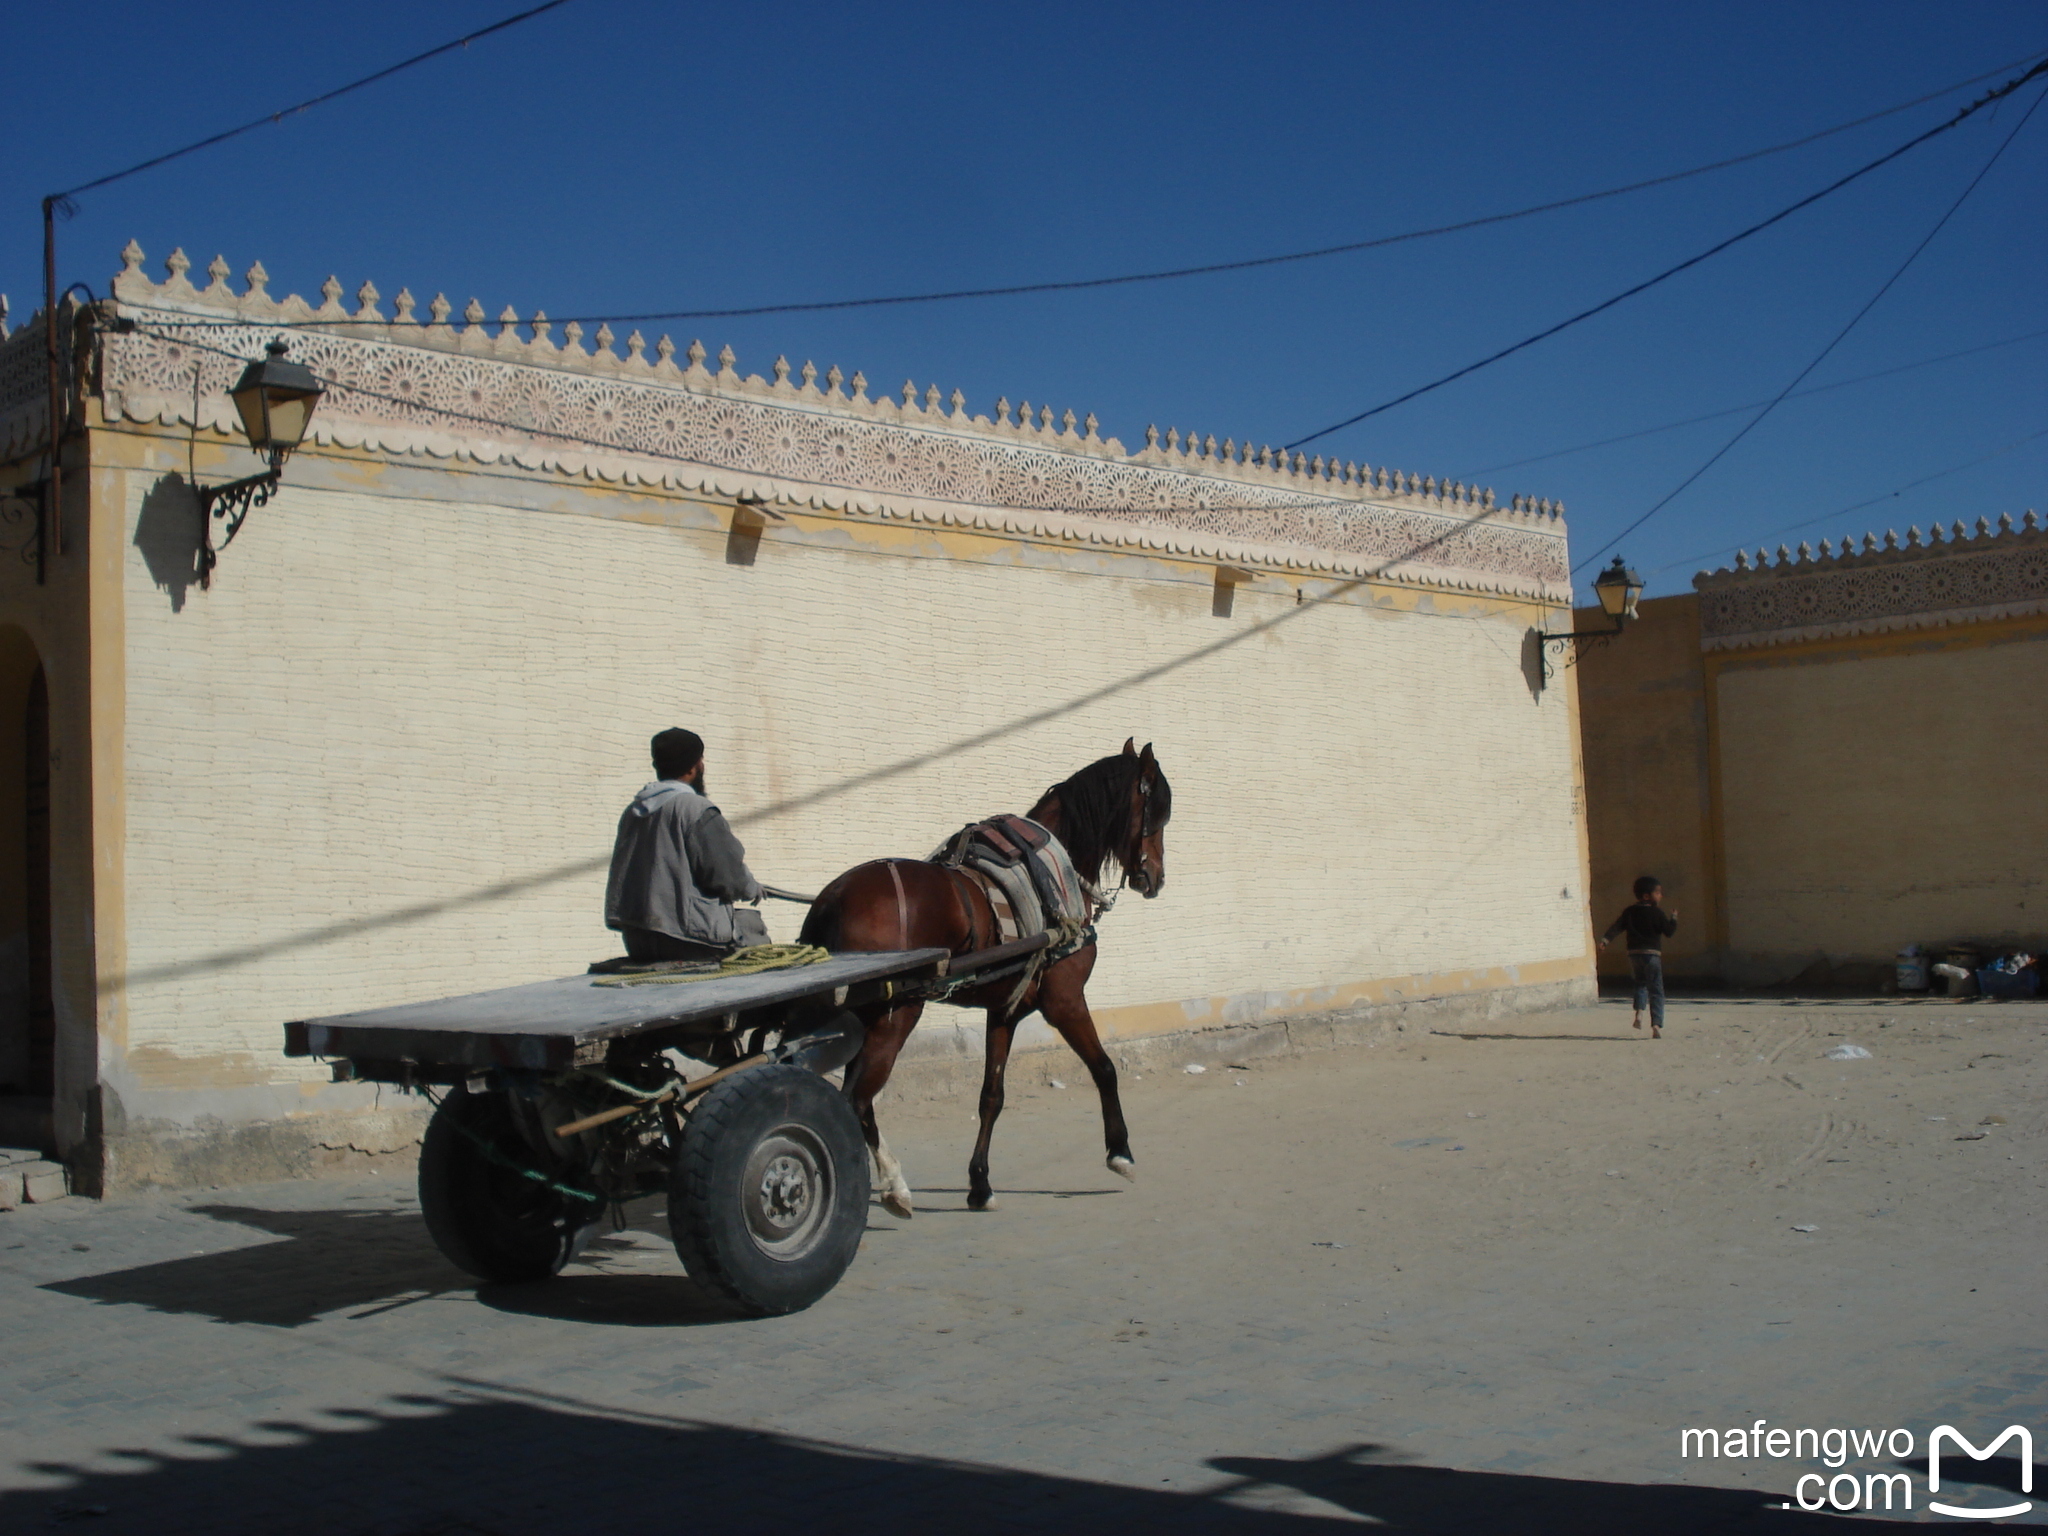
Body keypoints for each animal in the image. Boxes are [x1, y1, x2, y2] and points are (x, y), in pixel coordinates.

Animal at [806, 741, 1179, 1220]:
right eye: (1156, 814)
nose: (1155, 879)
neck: (1049, 872)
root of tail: (832, 897)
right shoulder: (1065, 1002)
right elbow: (1105, 1068)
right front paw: (1120, 1152)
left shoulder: (1005, 1010)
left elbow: (992, 1096)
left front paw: (980, 1183)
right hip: (896, 1016)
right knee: (856, 1097)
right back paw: (890, 1184)